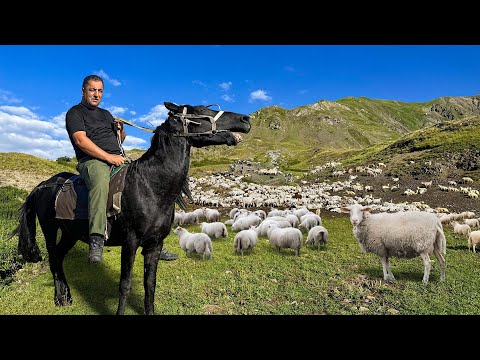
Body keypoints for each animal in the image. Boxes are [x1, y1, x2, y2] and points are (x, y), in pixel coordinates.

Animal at [11, 100, 251, 312]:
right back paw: (60, 297)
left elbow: (150, 286)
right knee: (53, 258)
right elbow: (124, 285)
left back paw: (67, 295)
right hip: (50, 229)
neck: (150, 186)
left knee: (59, 257)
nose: (245, 119)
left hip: (71, 233)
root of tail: (43, 185)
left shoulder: (154, 245)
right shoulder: (130, 242)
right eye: (200, 110)